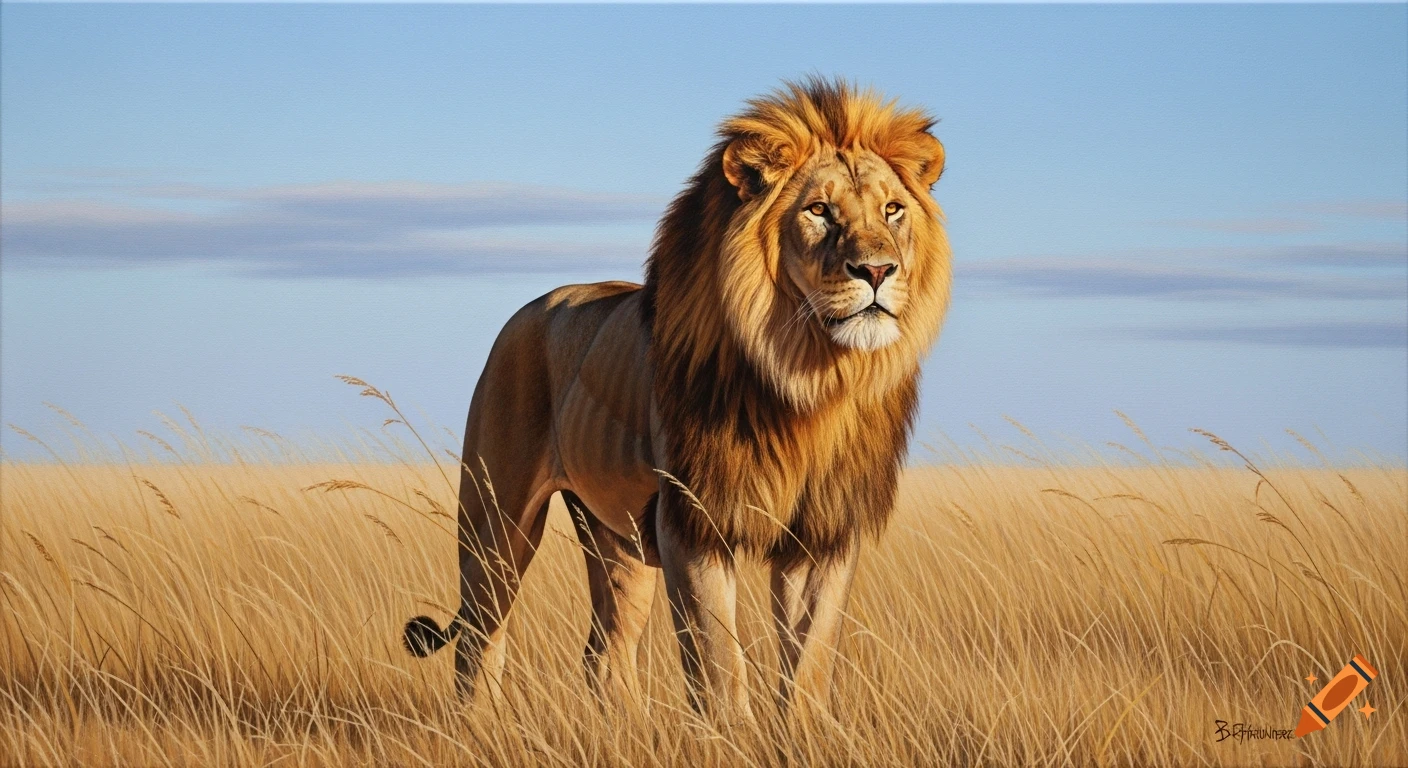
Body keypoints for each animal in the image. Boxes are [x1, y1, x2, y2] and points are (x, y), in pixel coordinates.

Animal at [403, 77, 951, 720]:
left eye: (893, 210)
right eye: (819, 210)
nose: (877, 270)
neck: (811, 380)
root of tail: (530, 308)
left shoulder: (824, 532)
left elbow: (809, 663)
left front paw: (802, 730)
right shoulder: (693, 520)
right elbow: (719, 666)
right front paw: (732, 732)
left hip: (619, 542)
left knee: (605, 654)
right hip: (496, 521)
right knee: (480, 641)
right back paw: (479, 725)